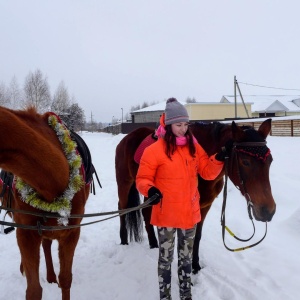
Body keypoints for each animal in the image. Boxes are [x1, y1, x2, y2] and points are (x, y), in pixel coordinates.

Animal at [0, 106, 93, 298]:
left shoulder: (71, 233)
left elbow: (65, 279)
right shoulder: (27, 233)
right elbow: (34, 290)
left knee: (47, 244)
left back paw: (50, 276)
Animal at [115, 118, 276, 274]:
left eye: (270, 161)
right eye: (245, 162)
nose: (268, 211)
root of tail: (127, 138)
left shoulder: (204, 206)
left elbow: (197, 236)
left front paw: (195, 265)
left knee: (146, 212)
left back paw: (153, 243)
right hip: (125, 184)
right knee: (122, 208)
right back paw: (124, 240)